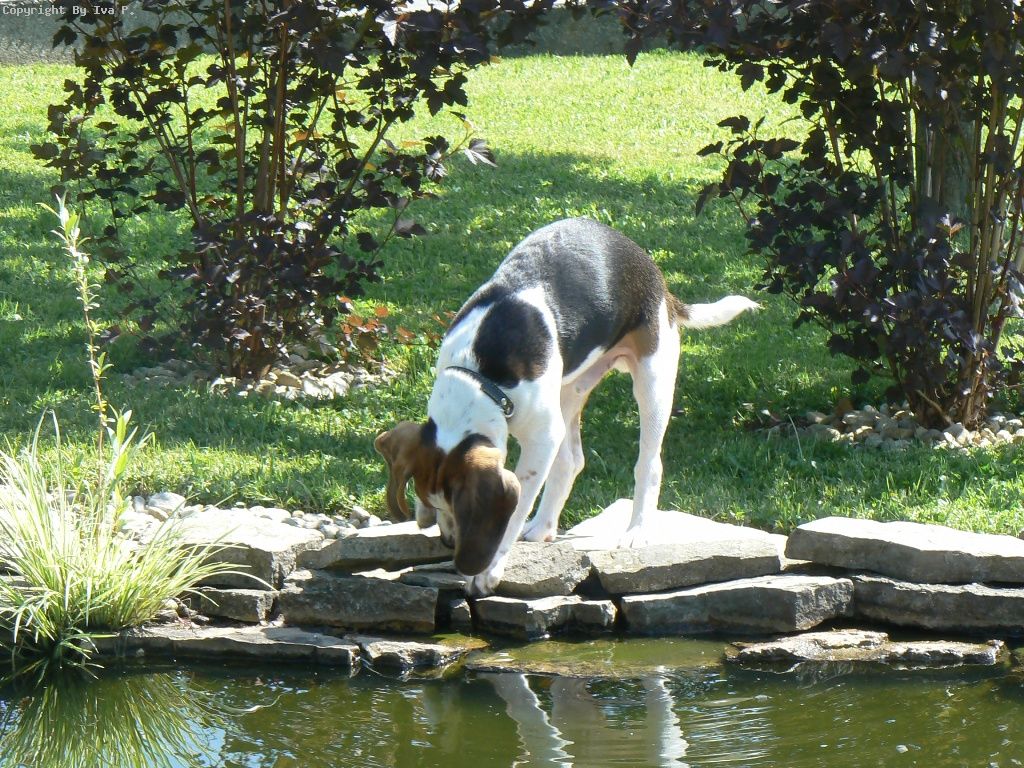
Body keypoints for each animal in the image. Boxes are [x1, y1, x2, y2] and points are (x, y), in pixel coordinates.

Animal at [375, 217, 758, 596]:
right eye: (434, 501)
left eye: (459, 505)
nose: (448, 541)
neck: (479, 376)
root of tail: (658, 281)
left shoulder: (540, 440)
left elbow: (515, 509)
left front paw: (488, 570)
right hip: (567, 392)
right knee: (571, 460)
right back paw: (543, 526)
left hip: (653, 380)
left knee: (648, 464)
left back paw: (636, 532)